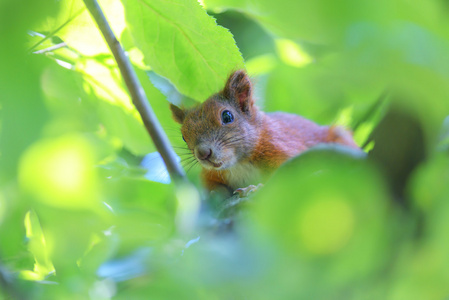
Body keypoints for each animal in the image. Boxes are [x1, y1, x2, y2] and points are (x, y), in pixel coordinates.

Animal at [170, 70, 358, 197]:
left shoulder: (283, 149)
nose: (203, 153)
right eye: (183, 137)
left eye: (227, 116)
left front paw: (254, 188)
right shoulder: (211, 175)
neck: (239, 164)